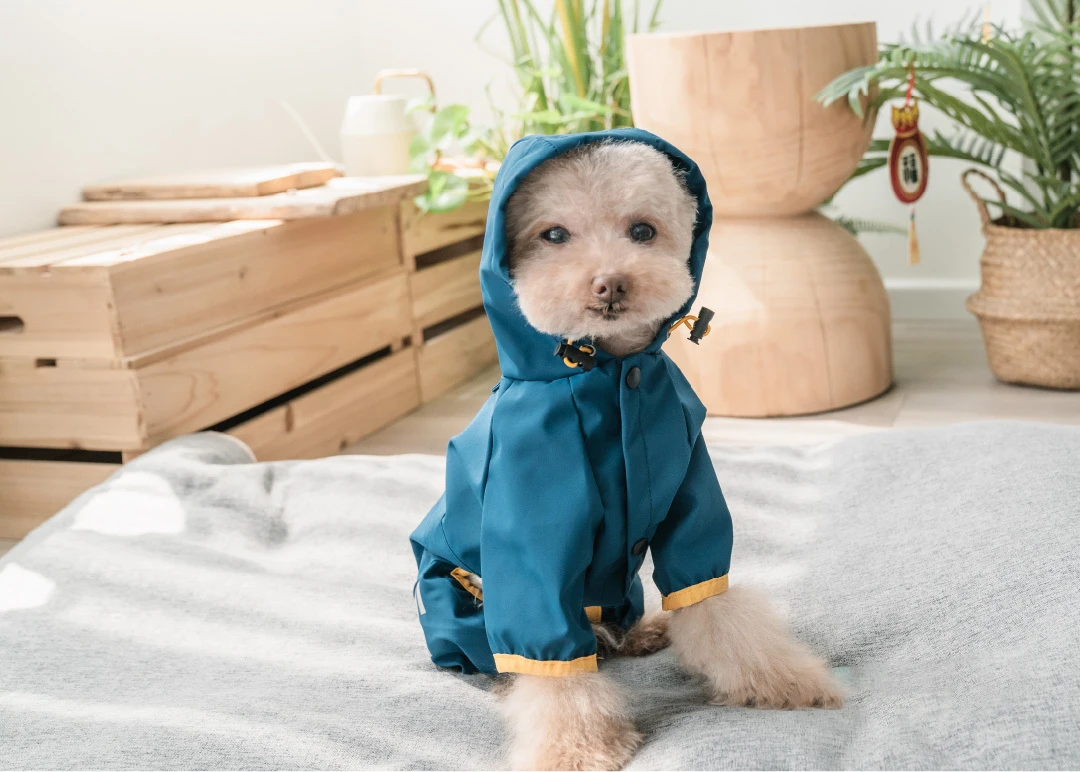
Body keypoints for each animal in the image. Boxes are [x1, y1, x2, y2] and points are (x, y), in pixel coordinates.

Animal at [412, 130, 842, 768]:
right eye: (553, 235)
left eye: (642, 230)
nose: (610, 283)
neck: (613, 376)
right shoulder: (534, 538)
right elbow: (556, 672)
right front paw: (573, 751)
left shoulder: (690, 498)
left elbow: (714, 604)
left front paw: (785, 682)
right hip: (461, 596)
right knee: (507, 658)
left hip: (621, 588)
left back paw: (638, 633)